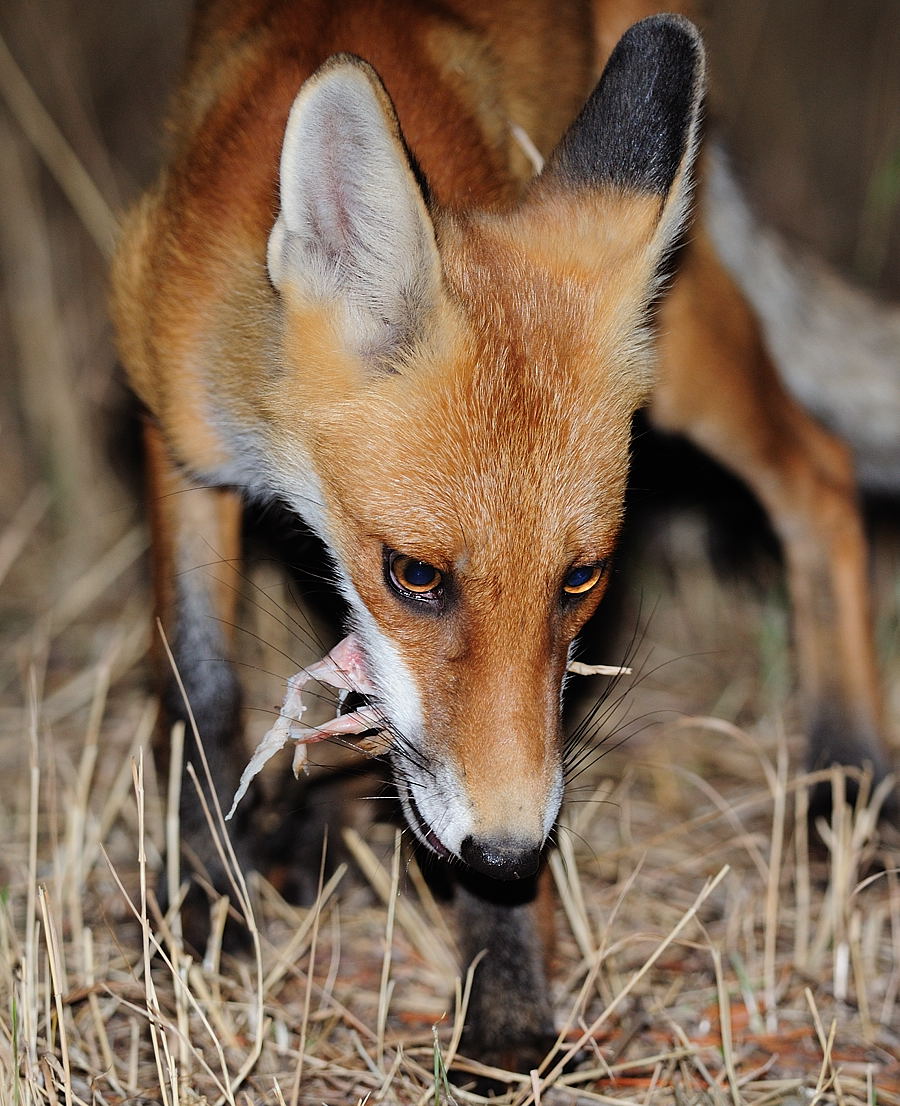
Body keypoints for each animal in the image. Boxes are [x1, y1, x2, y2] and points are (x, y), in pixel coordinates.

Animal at [112, 0, 893, 1075]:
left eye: (582, 578)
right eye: (414, 575)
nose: (511, 851)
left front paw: (509, 997)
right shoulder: (180, 437)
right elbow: (200, 690)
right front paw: (203, 903)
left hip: (683, 341)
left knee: (820, 471)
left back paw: (849, 771)